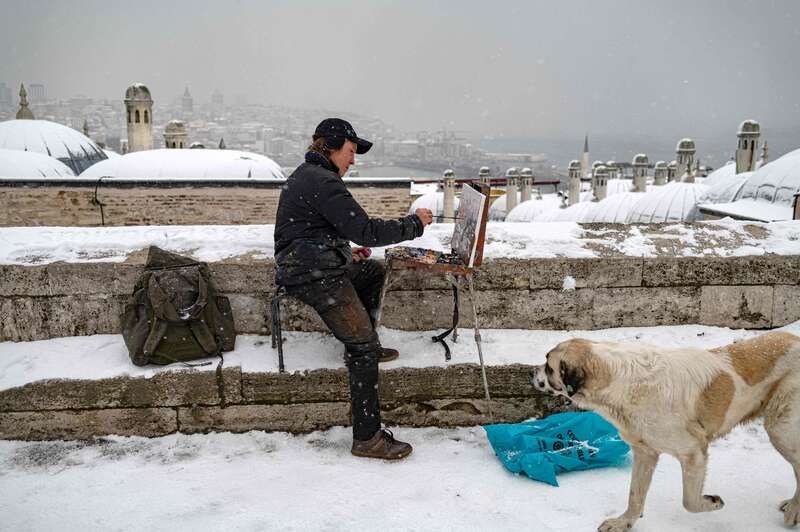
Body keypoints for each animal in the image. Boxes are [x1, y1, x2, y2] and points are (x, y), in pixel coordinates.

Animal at [532, 332, 800, 532]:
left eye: (548, 365)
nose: (532, 373)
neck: (620, 383)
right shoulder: (645, 453)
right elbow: (635, 495)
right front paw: (624, 522)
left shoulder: (694, 453)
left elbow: (689, 502)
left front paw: (712, 503)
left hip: (780, 428)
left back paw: (794, 511)